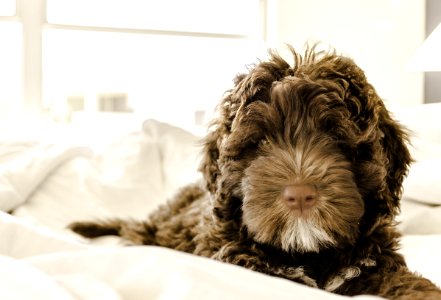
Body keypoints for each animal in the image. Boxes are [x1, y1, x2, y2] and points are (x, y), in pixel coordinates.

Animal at [70, 45, 440, 298]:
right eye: (260, 141)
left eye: (337, 139)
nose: (300, 195)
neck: (309, 254)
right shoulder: (233, 257)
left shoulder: (372, 261)